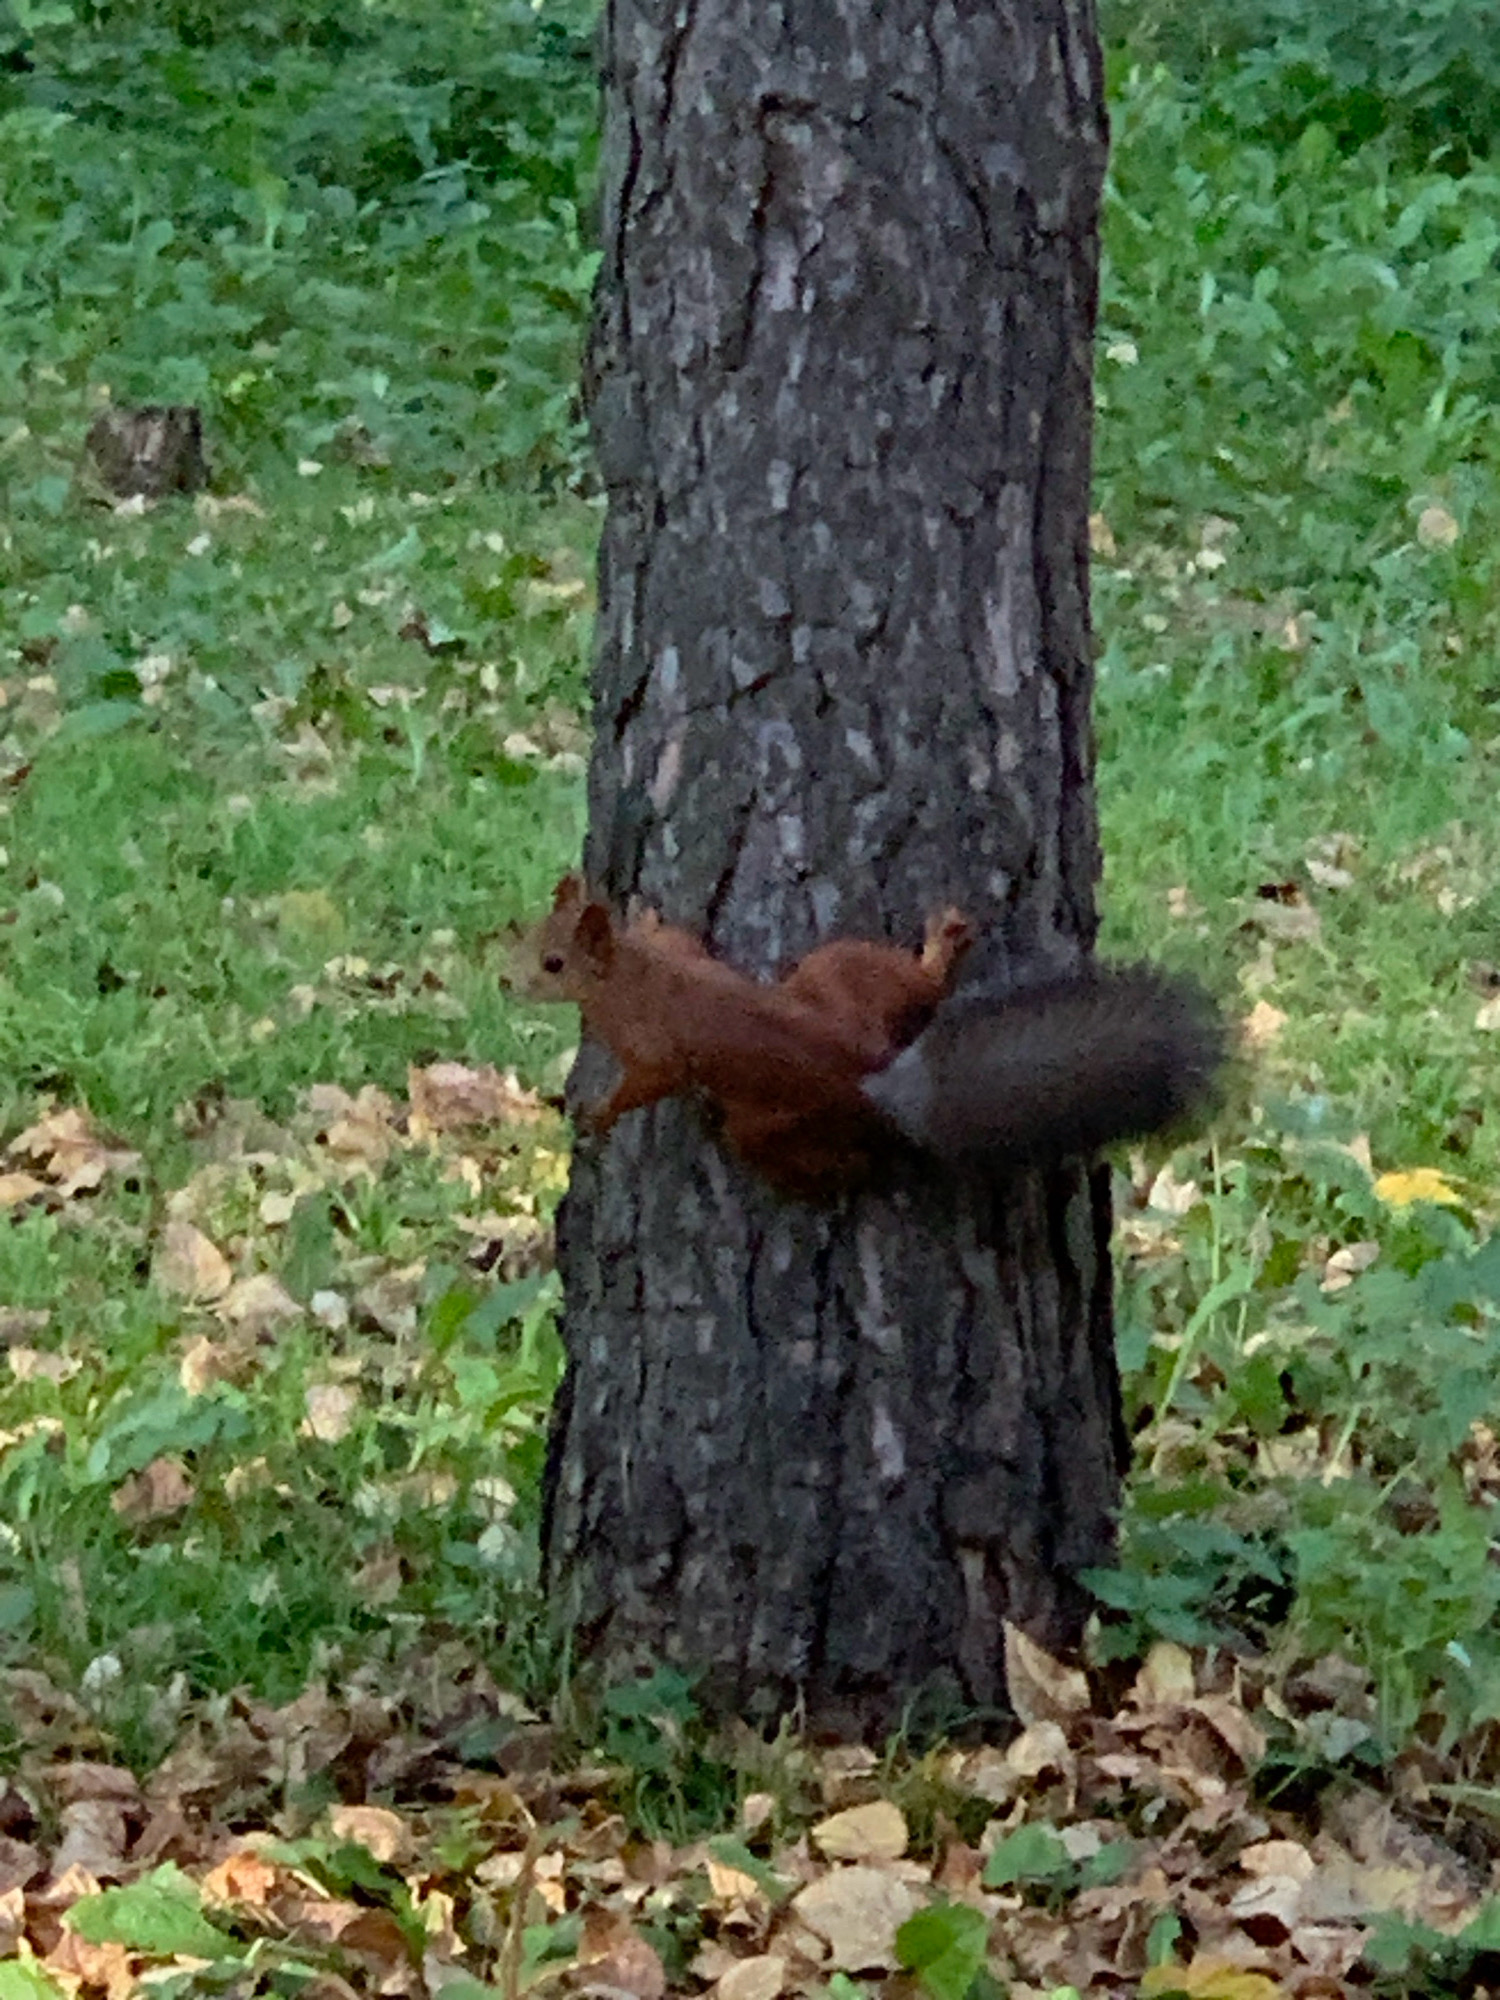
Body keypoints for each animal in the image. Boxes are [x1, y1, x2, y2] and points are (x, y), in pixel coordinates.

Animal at [516, 874, 1224, 1201]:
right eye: (522, 932)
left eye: (553, 963)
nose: (506, 980)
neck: (628, 977)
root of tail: (869, 1071)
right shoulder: (679, 958)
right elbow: (678, 937)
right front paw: (647, 914)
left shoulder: (656, 1045)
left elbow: (648, 1081)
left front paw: (599, 1115)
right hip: (841, 973)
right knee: (916, 986)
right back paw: (942, 948)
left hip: (770, 1121)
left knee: (781, 1148)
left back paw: (837, 1176)